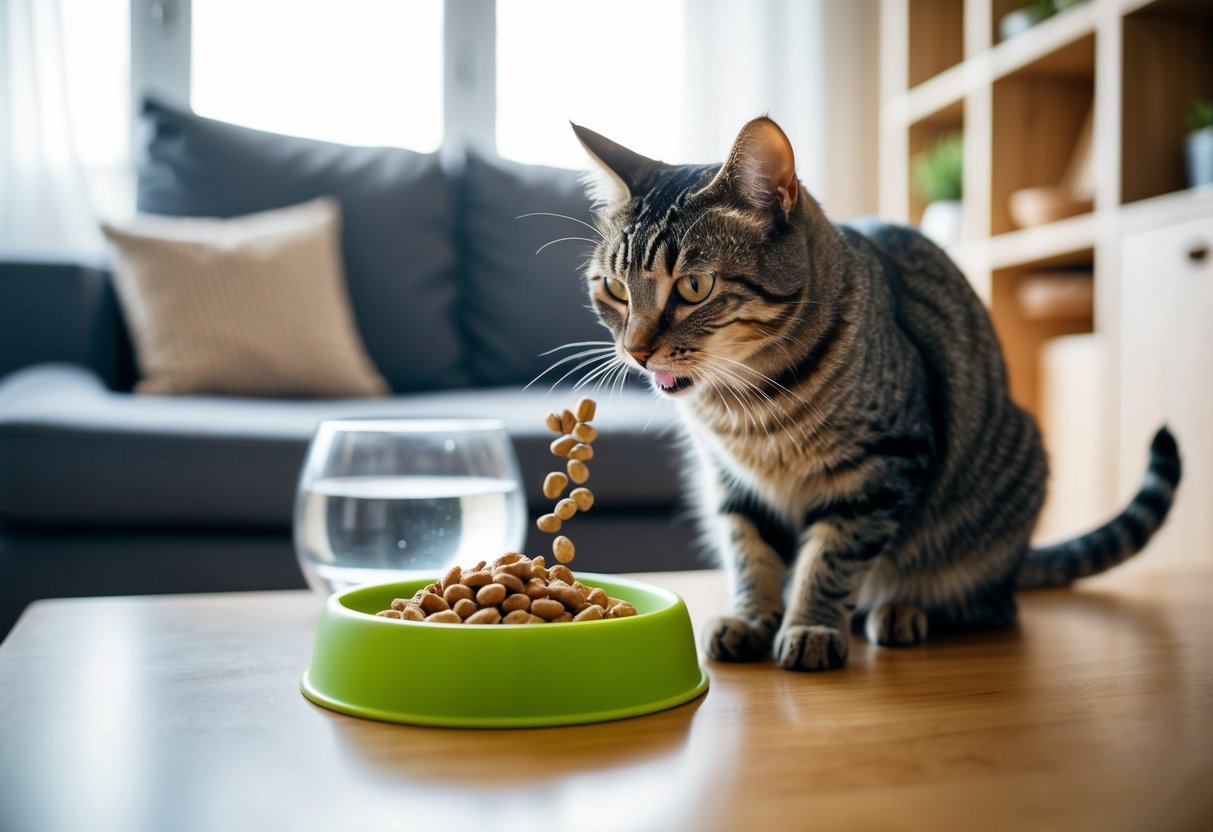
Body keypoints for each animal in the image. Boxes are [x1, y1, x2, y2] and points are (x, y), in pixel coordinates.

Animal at [570, 118, 1183, 669]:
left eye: (694, 287)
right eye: (615, 288)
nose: (635, 350)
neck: (746, 403)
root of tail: (1018, 562)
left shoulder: (881, 466)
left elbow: (830, 558)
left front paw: (811, 627)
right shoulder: (731, 480)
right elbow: (750, 553)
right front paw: (751, 619)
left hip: (997, 497)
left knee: (981, 604)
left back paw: (901, 610)